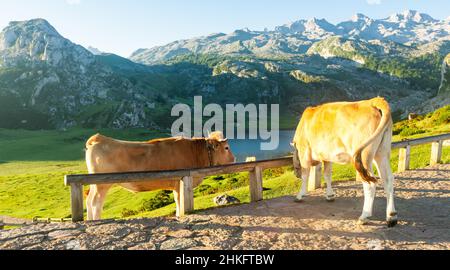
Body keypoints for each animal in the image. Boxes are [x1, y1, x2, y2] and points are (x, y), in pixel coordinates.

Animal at [84, 132, 236, 220]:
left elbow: (176, 200)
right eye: (227, 147)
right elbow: (180, 201)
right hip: (102, 184)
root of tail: (99, 138)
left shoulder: (176, 185)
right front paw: (180, 214)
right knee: (96, 202)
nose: (234, 159)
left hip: (94, 183)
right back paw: (96, 221)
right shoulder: (180, 182)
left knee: (89, 200)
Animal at [292, 97, 398, 228]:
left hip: (364, 155)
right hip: (382, 152)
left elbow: (305, 175)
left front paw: (300, 195)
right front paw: (330, 195)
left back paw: (364, 216)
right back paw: (391, 216)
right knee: (388, 179)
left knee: (370, 184)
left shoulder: (304, 152)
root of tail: (372, 101)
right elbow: (327, 175)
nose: (295, 174)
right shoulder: (327, 157)